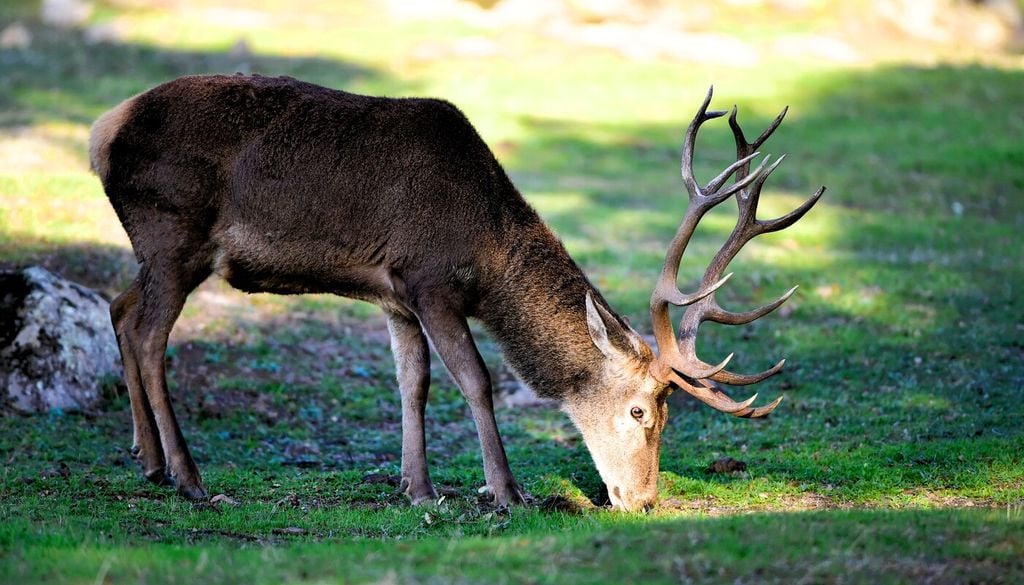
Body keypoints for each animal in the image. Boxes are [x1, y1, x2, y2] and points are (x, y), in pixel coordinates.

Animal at [89, 74, 823, 511]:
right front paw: (506, 491)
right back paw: (188, 476)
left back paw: (146, 458)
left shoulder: (393, 294)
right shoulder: (430, 280)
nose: (643, 500)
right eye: (642, 410)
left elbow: (412, 382)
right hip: (174, 233)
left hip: (154, 249)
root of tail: (102, 133)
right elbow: (475, 378)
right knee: (150, 335)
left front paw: (417, 486)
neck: (486, 252)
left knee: (119, 310)